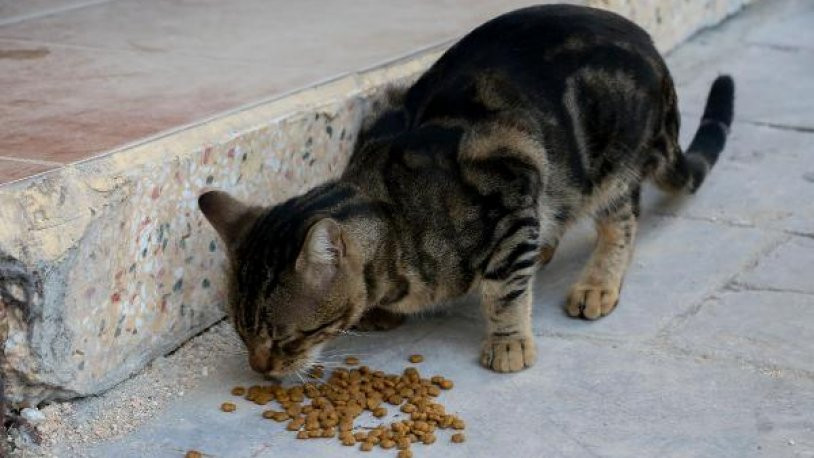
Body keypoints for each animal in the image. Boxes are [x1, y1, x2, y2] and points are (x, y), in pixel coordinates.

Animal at [198, 3, 732, 376]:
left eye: (290, 338)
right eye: (242, 334)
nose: (260, 370)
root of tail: (654, 53)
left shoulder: (513, 181)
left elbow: (504, 293)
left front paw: (508, 342)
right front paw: (381, 312)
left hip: (609, 162)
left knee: (620, 223)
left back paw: (596, 284)